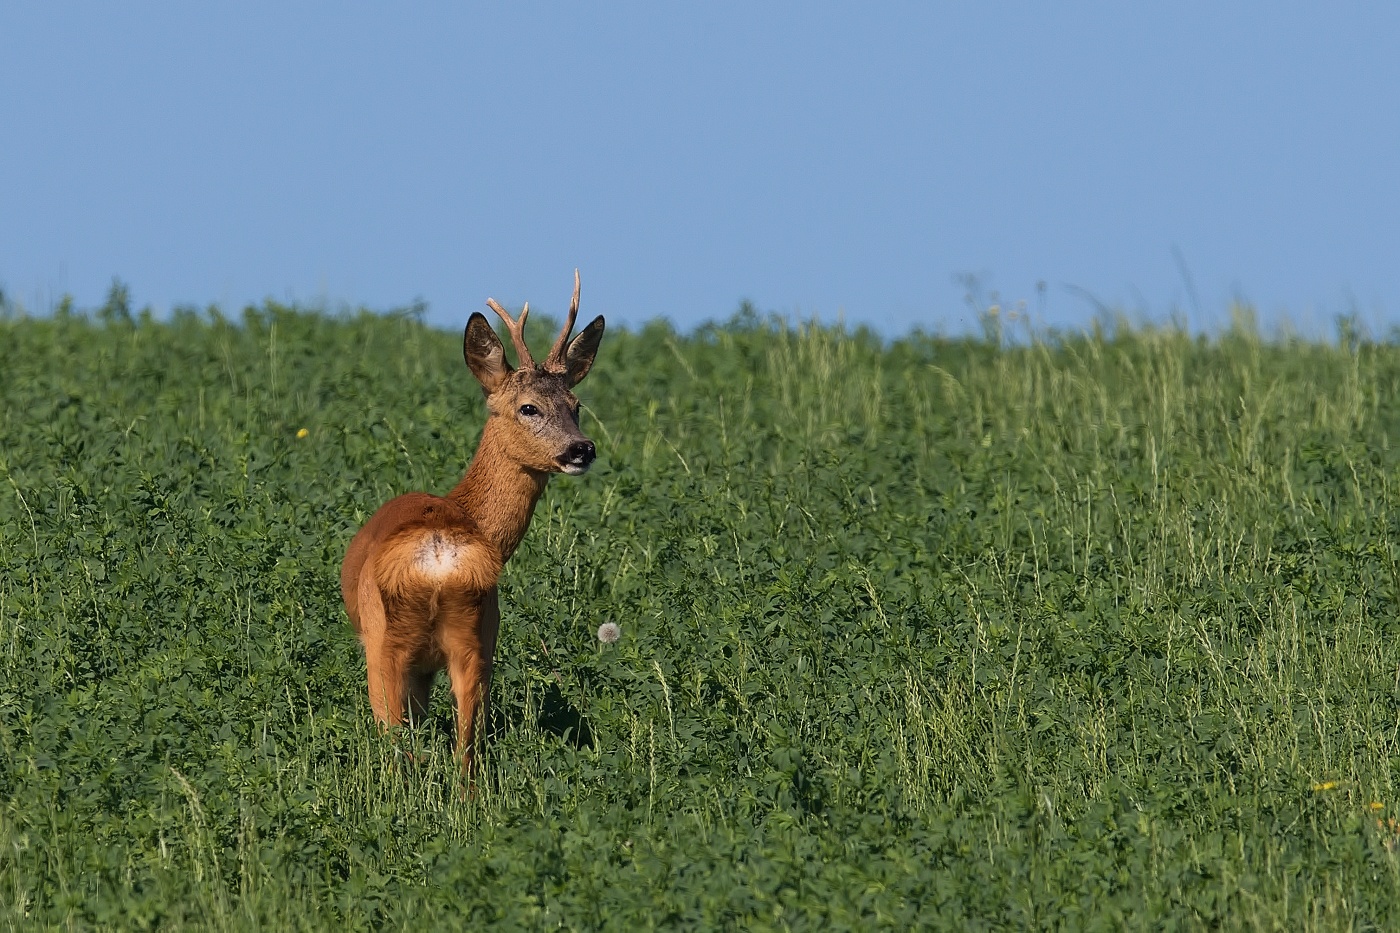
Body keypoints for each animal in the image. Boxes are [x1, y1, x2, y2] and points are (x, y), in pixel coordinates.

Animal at [341, 268, 604, 767]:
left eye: (576, 405)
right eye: (528, 406)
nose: (581, 449)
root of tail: (439, 556)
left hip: (387, 642)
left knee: (398, 747)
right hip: (474, 639)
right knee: (467, 752)